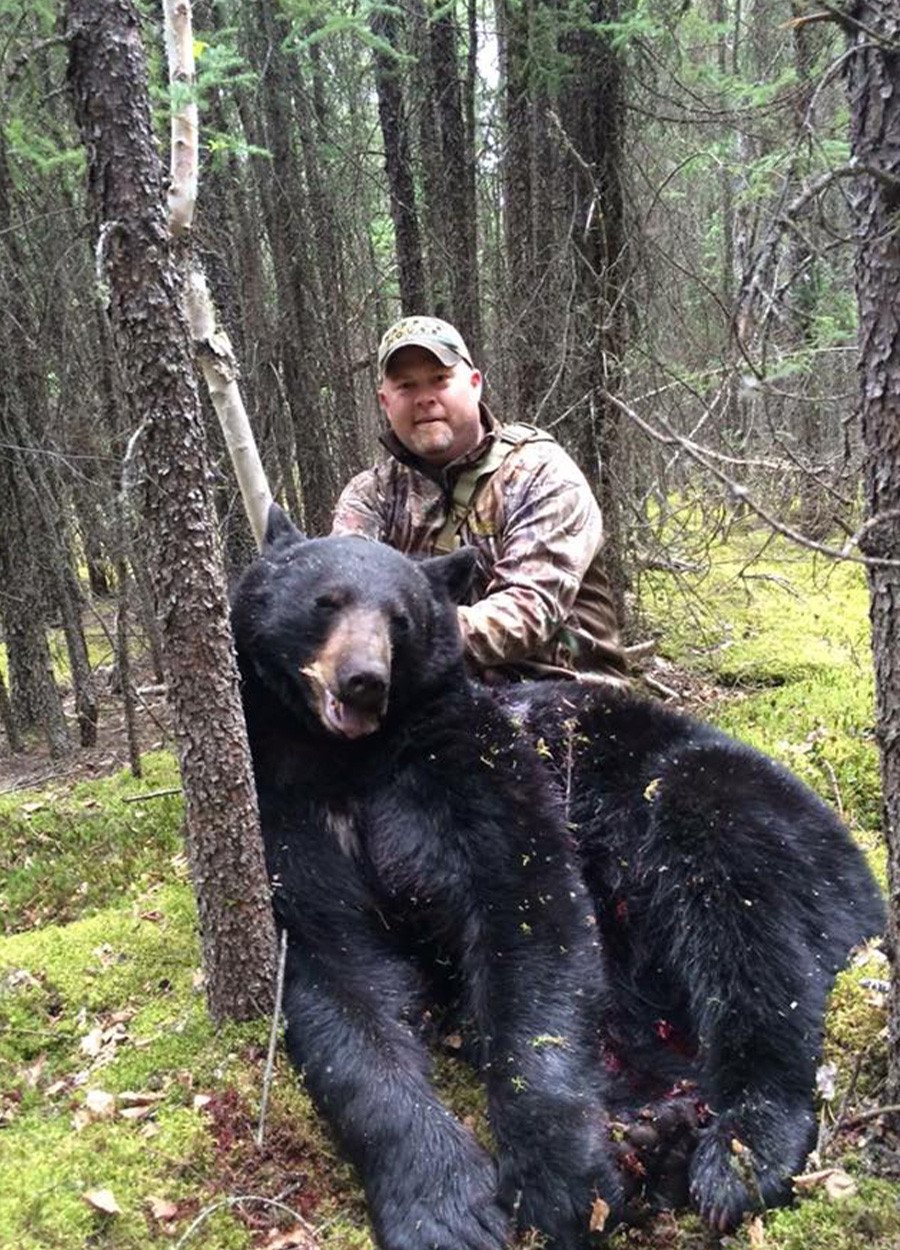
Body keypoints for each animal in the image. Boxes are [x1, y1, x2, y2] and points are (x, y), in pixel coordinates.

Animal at [230, 505, 885, 1249]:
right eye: (326, 601)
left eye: (400, 618)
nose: (364, 678)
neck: (352, 761)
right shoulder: (286, 813)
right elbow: (335, 975)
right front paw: (443, 1204)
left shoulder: (474, 769)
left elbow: (529, 911)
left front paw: (559, 1177)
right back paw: (658, 1134)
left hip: (763, 833)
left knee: (746, 929)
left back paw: (739, 1148)